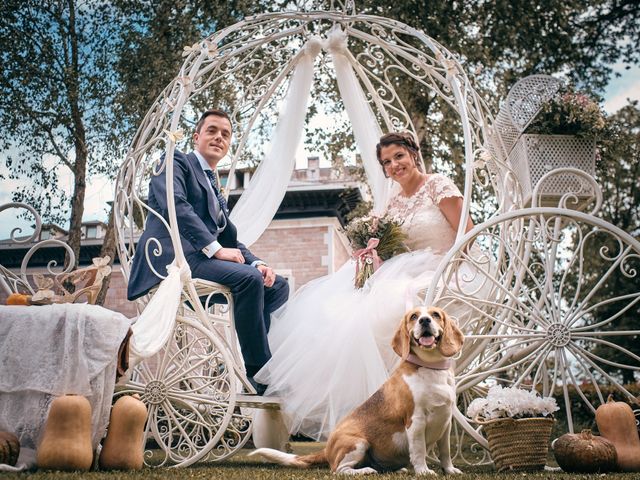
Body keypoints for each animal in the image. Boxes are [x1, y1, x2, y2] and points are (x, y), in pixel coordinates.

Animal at [250, 306, 464, 474]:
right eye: (413, 316)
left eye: (435, 314)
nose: (424, 320)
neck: (431, 368)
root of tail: (327, 449)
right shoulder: (416, 421)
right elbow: (419, 451)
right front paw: (423, 471)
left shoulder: (445, 422)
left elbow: (445, 452)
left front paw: (450, 470)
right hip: (358, 443)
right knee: (339, 470)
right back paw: (365, 471)